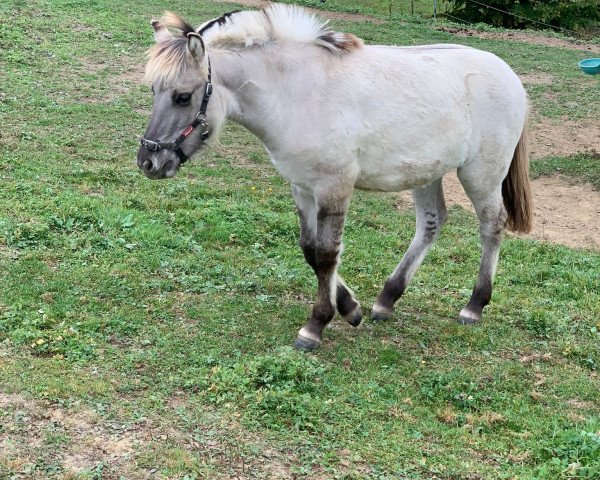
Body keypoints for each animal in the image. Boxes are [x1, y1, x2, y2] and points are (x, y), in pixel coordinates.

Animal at [138, 1, 532, 350]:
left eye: (183, 96)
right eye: (154, 90)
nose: (148, 162)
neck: (296, 93)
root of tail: (509, 75)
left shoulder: (334, 188)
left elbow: (327, 254)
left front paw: (315, 326)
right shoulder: (301, 187)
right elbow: (310, 250)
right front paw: (351, 309)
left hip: (481, 174)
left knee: (492, 224)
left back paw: (474, 305)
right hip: (426, 173)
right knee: (432, 223)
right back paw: (387, 299)